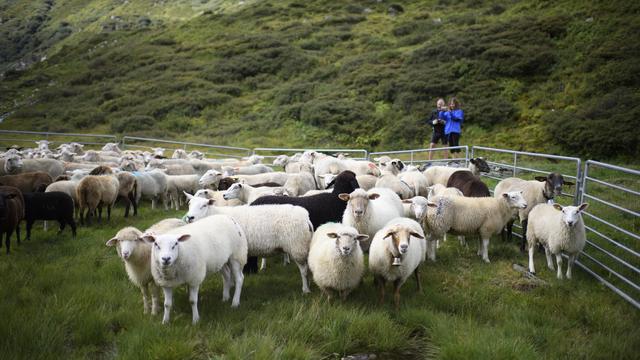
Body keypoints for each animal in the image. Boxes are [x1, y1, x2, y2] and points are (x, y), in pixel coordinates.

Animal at [185, 194, 316, 292]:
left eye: (204, 205)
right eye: (189, 204)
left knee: (303, 270)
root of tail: (306, 217)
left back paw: (305, 289)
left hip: (297, 246)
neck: (214, 214)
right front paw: (231, 285)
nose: (190, 217)